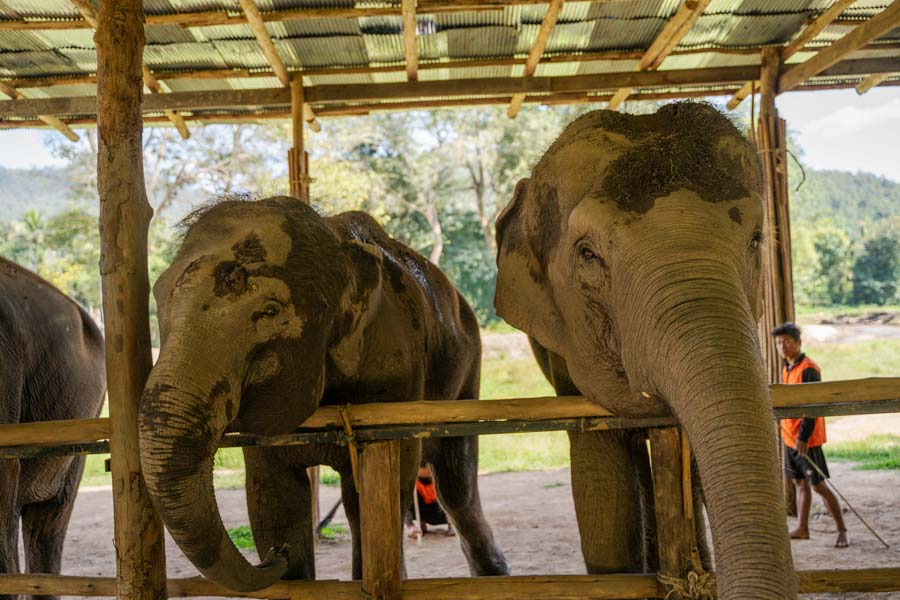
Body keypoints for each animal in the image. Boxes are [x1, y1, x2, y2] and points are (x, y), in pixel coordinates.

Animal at [138, 199, 510, 592]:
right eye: (159, 302)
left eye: (270, 311)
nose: (277, 555)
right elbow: (274, 498)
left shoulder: (395, 365)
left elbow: (371, 495)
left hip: (468, 365)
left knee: (455, 483)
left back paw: (495, 575)